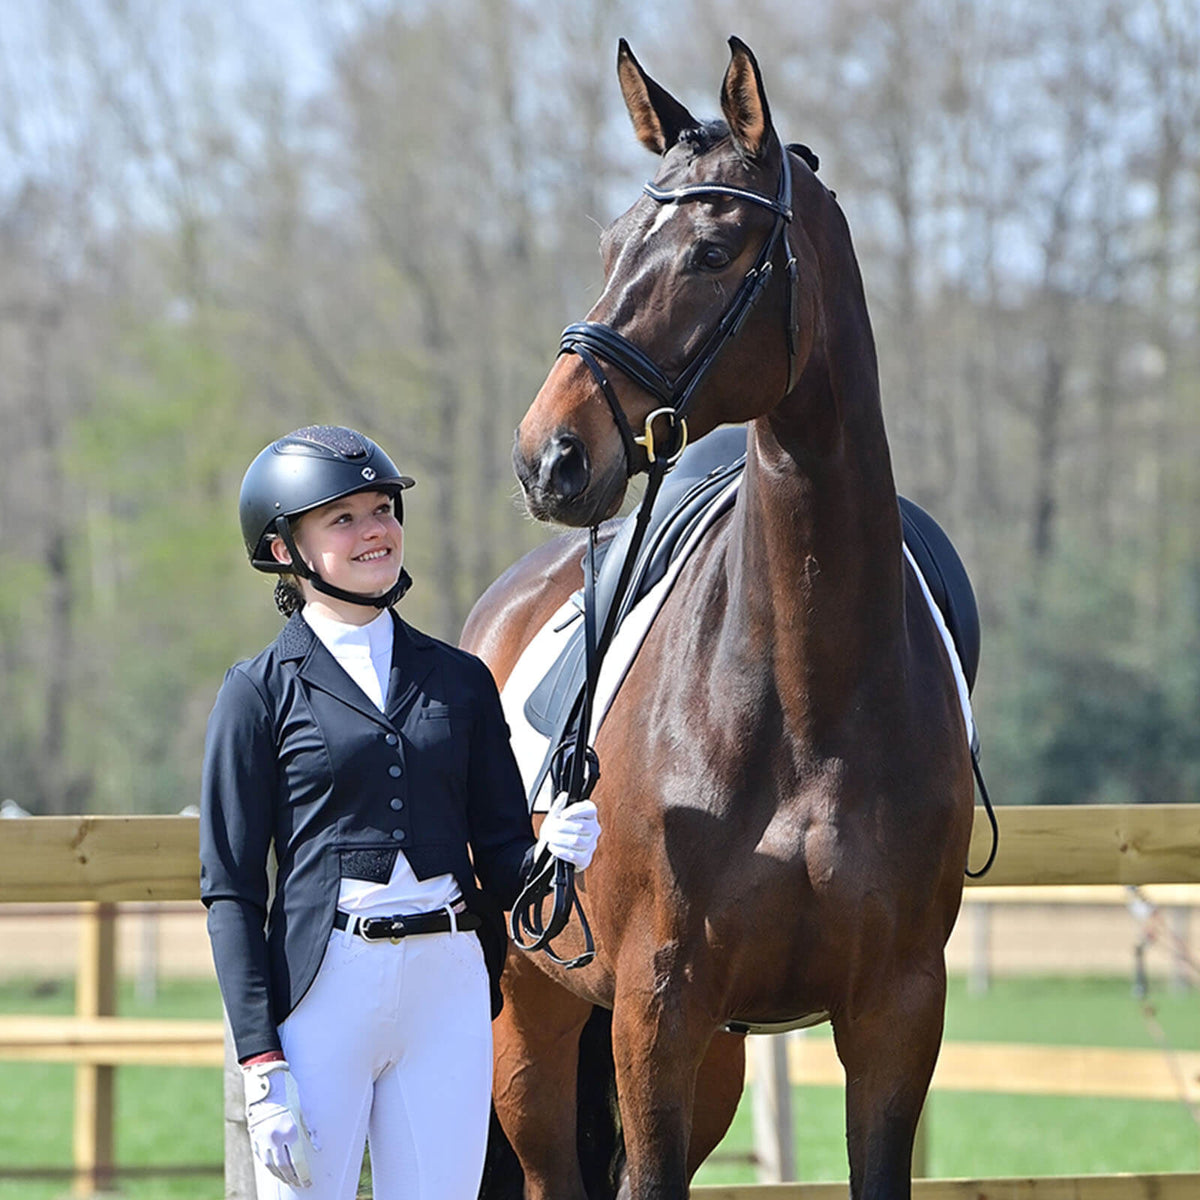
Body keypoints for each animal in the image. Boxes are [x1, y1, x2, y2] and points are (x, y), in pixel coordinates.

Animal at [461, 37, 976, 1200]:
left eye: (711, 249)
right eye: (613, 244)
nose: (549, 455)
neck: (806, 692)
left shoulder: (894, 1016)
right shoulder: (658, 1006)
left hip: (716, 1065)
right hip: (535, 1027)